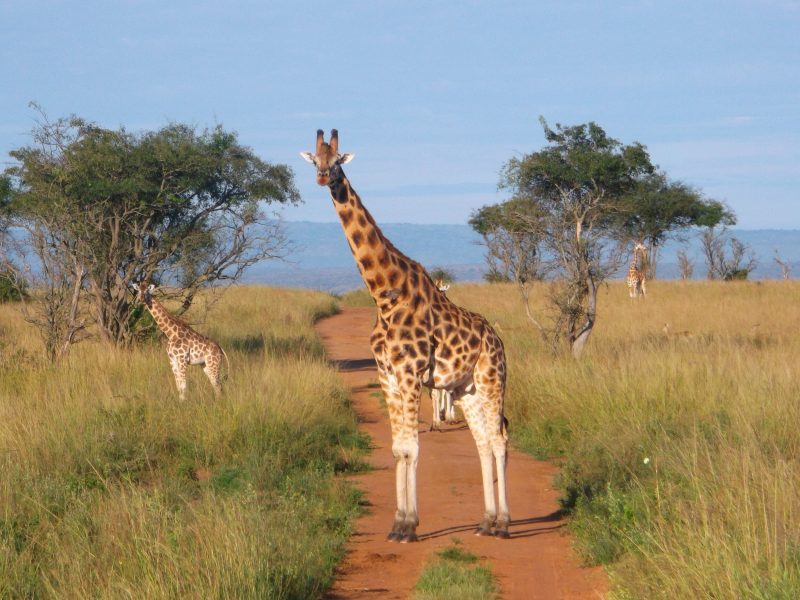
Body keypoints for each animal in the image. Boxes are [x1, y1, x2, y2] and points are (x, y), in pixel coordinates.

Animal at [296, 129, 510, 540]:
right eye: (316, 160)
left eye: (338, 161)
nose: (323, 177)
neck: (383, 294)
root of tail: (498, 341)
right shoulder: (387, 375)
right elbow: (398, 448)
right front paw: (398, 523)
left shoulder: (411, 373)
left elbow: (412, 448)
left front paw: (409, 526)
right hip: (467, 389)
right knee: (482, 442)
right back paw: (487, 521)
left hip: (493, 380)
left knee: (499, 439)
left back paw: (505, 523)